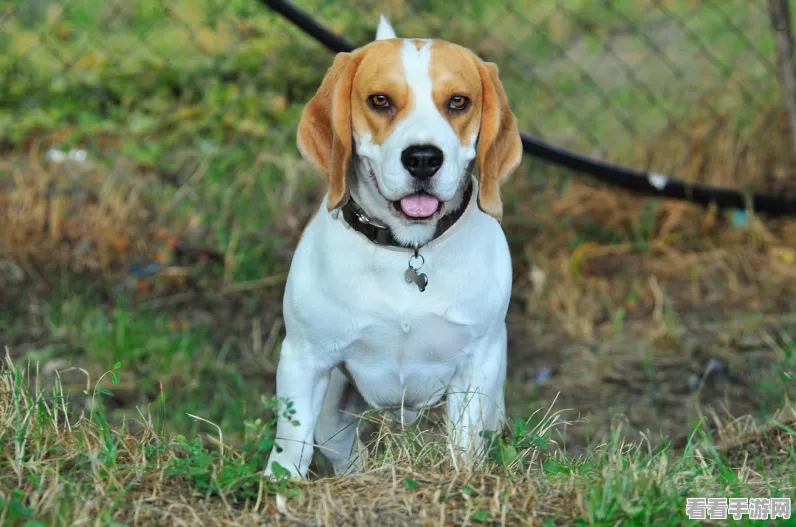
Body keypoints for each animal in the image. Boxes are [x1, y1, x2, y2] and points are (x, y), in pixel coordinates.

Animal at [266, 15, 524, 478]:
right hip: (332, 414)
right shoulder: (303, 360)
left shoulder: (476, 367)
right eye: (380, 100)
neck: (407, 251)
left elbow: (464, 450)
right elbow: (290, 449)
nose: (423, 158)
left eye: (458, 101)